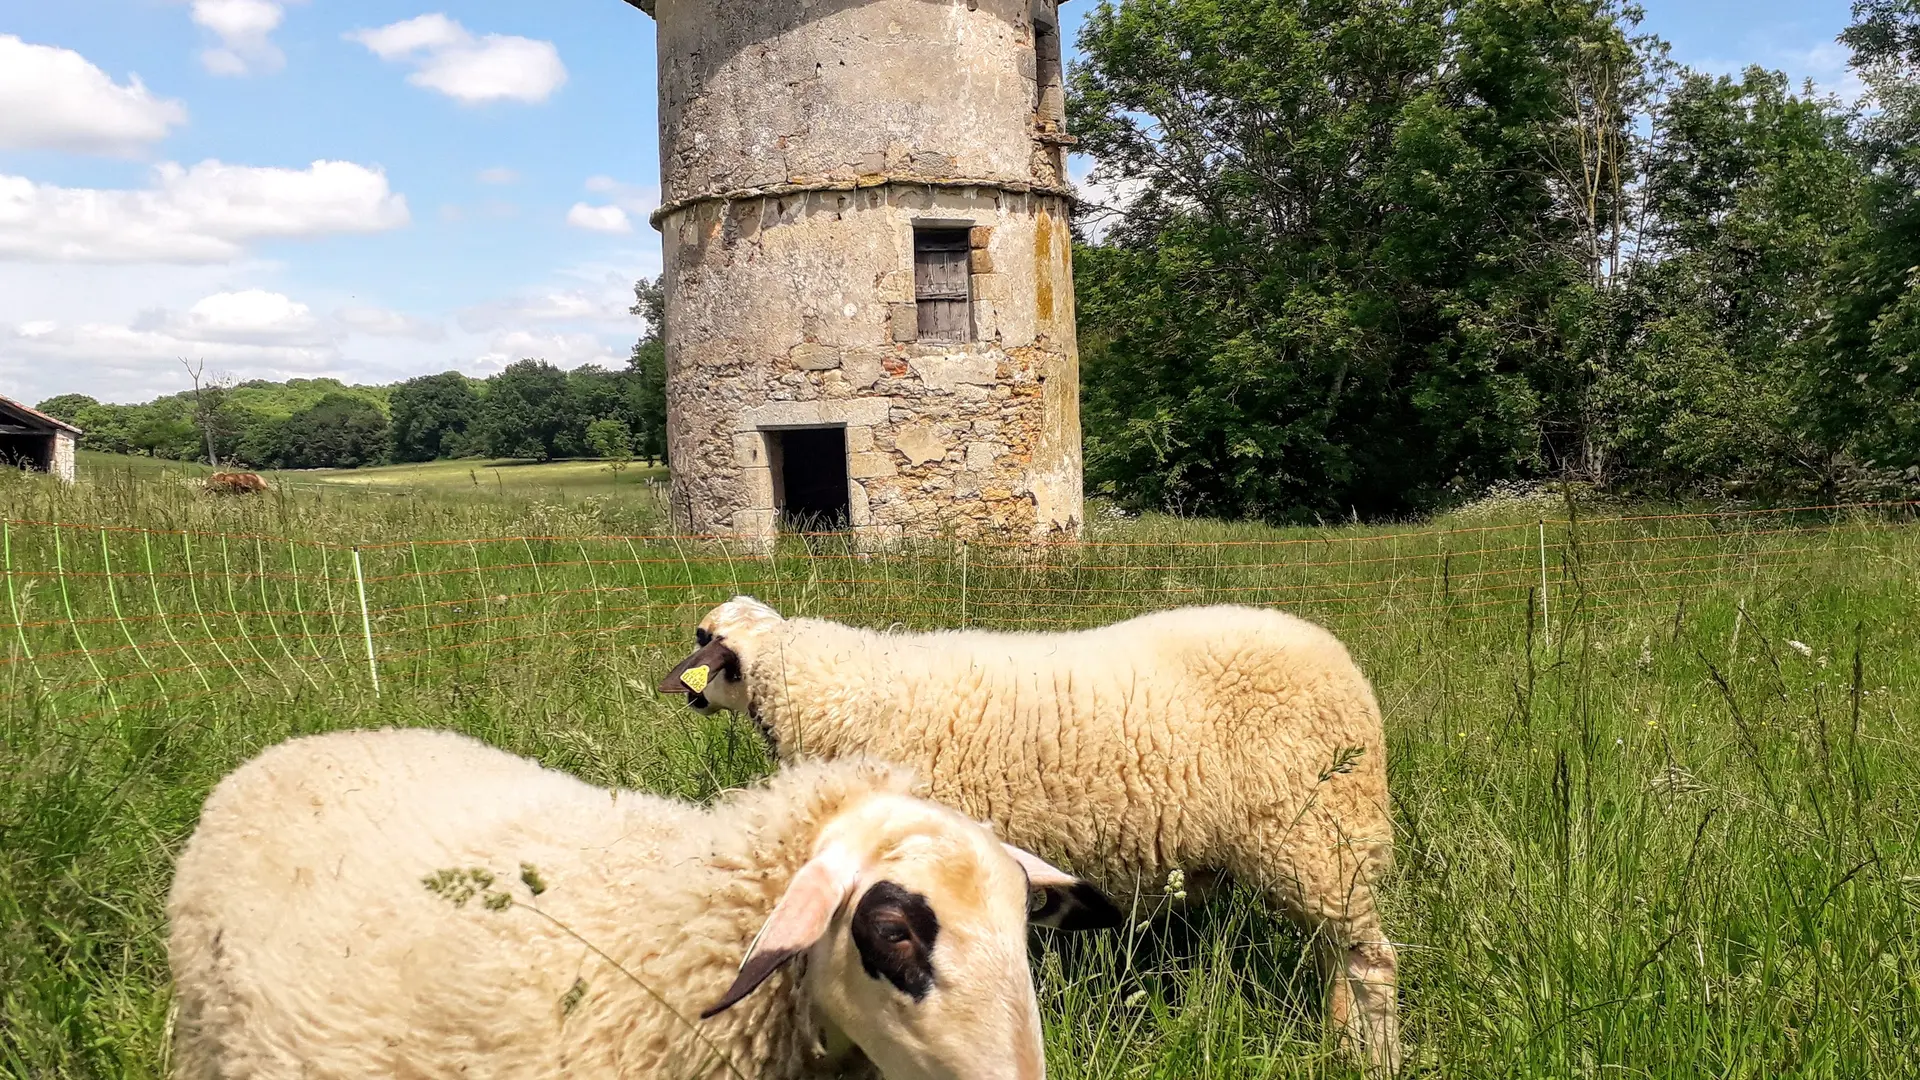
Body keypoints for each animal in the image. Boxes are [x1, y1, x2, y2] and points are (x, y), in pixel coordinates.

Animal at [656, 595, 1397, 1068]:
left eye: (700, 638)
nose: (684, 693)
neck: (820, 689)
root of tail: (1348, 670)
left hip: (1321, 834)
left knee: (1369, 960)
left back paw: (1372, 1055)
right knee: (1338, 956)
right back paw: (1341, 1042)